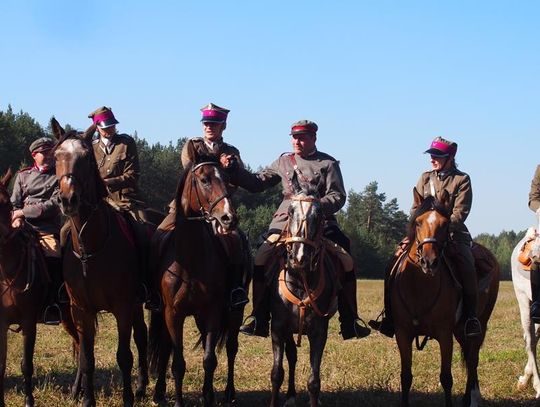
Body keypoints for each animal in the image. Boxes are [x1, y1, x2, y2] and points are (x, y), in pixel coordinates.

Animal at [51, 118, 148, 407]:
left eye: (85, 157)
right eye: (57, 156)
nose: (67, 199)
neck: (91, 244)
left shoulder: (123, 306)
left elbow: (124, 356)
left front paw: (127, 398)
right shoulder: (81, 310)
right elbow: (87, 358)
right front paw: (87, 399)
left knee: (141, 338)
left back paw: (141, 388)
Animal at [148, 153, 249, 407]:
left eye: (227, 180)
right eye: (204, 180)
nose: (229, 218)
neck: (190, 257)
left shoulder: (212, 311)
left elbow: (209, 359)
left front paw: (209, 397)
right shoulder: (172, 314)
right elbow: (177, 362)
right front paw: (178, 401)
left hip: (234, 311)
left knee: (231, 347)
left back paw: (228, 392)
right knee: (168, 347)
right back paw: (160, 392)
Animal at [390, 190, 500, 406]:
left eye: (445, 224)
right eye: (418, 222)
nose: (429, 261)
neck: (419, 287)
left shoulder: (444, 334)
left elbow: (446, 378)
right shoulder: (402, 333)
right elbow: (405, 377)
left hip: (479, 324)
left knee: (473, 359)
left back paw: (472, 398)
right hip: (460, 329)